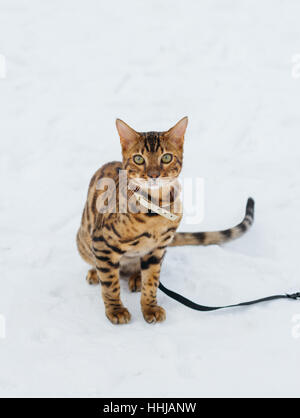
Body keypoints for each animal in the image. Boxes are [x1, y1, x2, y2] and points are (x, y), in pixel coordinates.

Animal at [76, 117, 254, 324]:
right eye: (138, 159)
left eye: (166, 158)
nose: (153, 175)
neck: (154, 210)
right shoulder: (102, 242)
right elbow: (110, 284)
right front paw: (116, 310)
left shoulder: (157, 249)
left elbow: (152, 282)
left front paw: (150, 307)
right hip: (83, 242)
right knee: (99, 266)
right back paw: (95, 273)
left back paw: (136, 277)